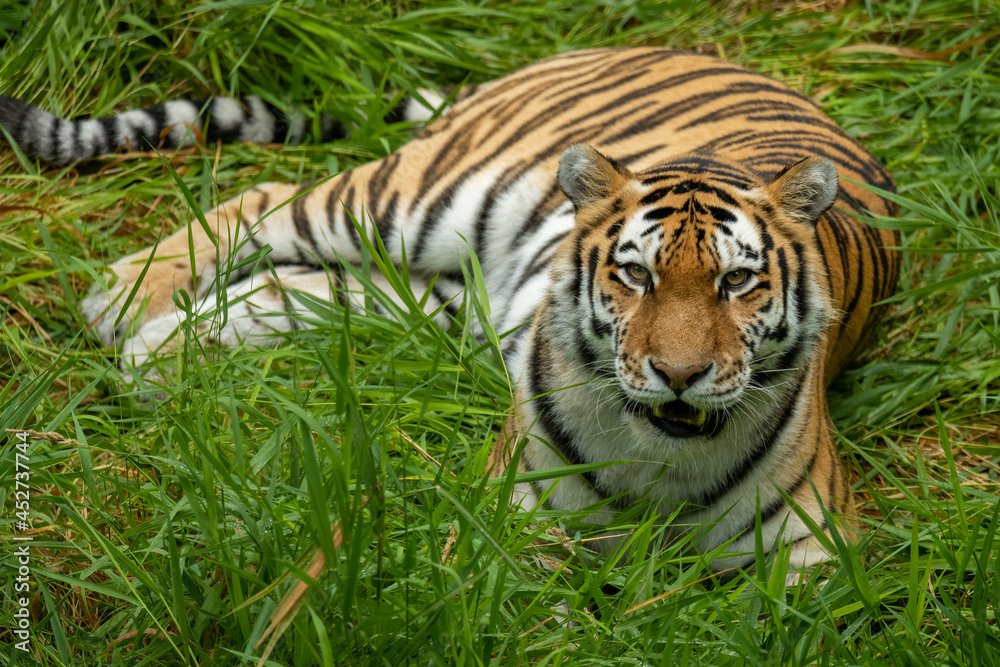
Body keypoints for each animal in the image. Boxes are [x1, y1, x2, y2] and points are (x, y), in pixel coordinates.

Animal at [2, 47, 900, 570]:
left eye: (737, 282)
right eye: (635, 275)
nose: (678, 374)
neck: (663, 458)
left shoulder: (818, 562)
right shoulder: (515, 517)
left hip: (435, 296)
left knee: (289, 288)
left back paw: (154, 359)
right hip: (420, 199)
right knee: (269, 197)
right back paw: (119, 298)